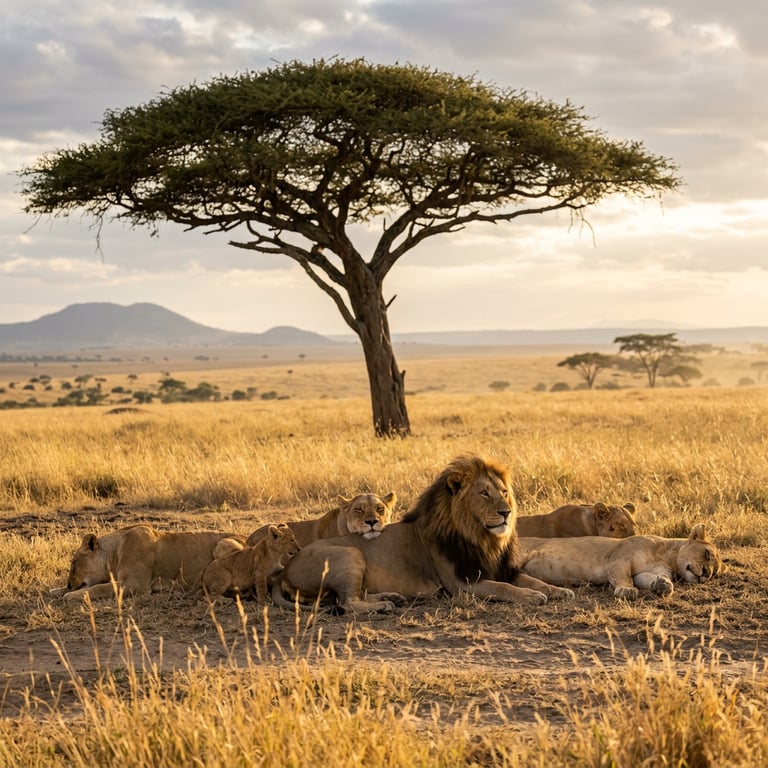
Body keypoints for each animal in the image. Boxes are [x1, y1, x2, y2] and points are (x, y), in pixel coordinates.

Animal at [61, 524, 245, 601]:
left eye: (74, 563)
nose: (69, 585)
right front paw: (60, 591)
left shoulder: (135, 584)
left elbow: (98, 588)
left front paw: (70, 596)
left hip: (222, 544)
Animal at [272, 454, 575, 613]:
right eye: (484, 494)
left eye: (503, 492)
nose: (506, 513)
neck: (482, 538)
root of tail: (286, 569)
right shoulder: (462, 583)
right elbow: (504, 588)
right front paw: (530, 596)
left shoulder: (500, 568)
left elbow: (532, 579)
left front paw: (558, 591)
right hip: (350, 553)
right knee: (347, 603)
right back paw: (384, 606)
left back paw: (391, 597)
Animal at [518, 524, 721, 600]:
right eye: (707, 554)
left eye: (715, 573)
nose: (706, 574)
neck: (667, 557)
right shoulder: (619, 559)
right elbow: (623, 576)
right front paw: (626, 590)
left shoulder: (643, 572)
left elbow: (646, 578)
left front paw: (663, 585)